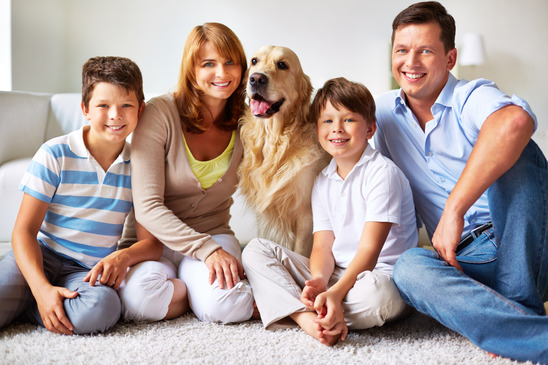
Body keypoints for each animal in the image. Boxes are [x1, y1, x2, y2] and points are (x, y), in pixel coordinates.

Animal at [238, 45, 328, 256]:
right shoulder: (266, 215)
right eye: (254, 61)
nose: (256, 79)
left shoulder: (306, 215)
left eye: (282, 64)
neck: (274, 140)